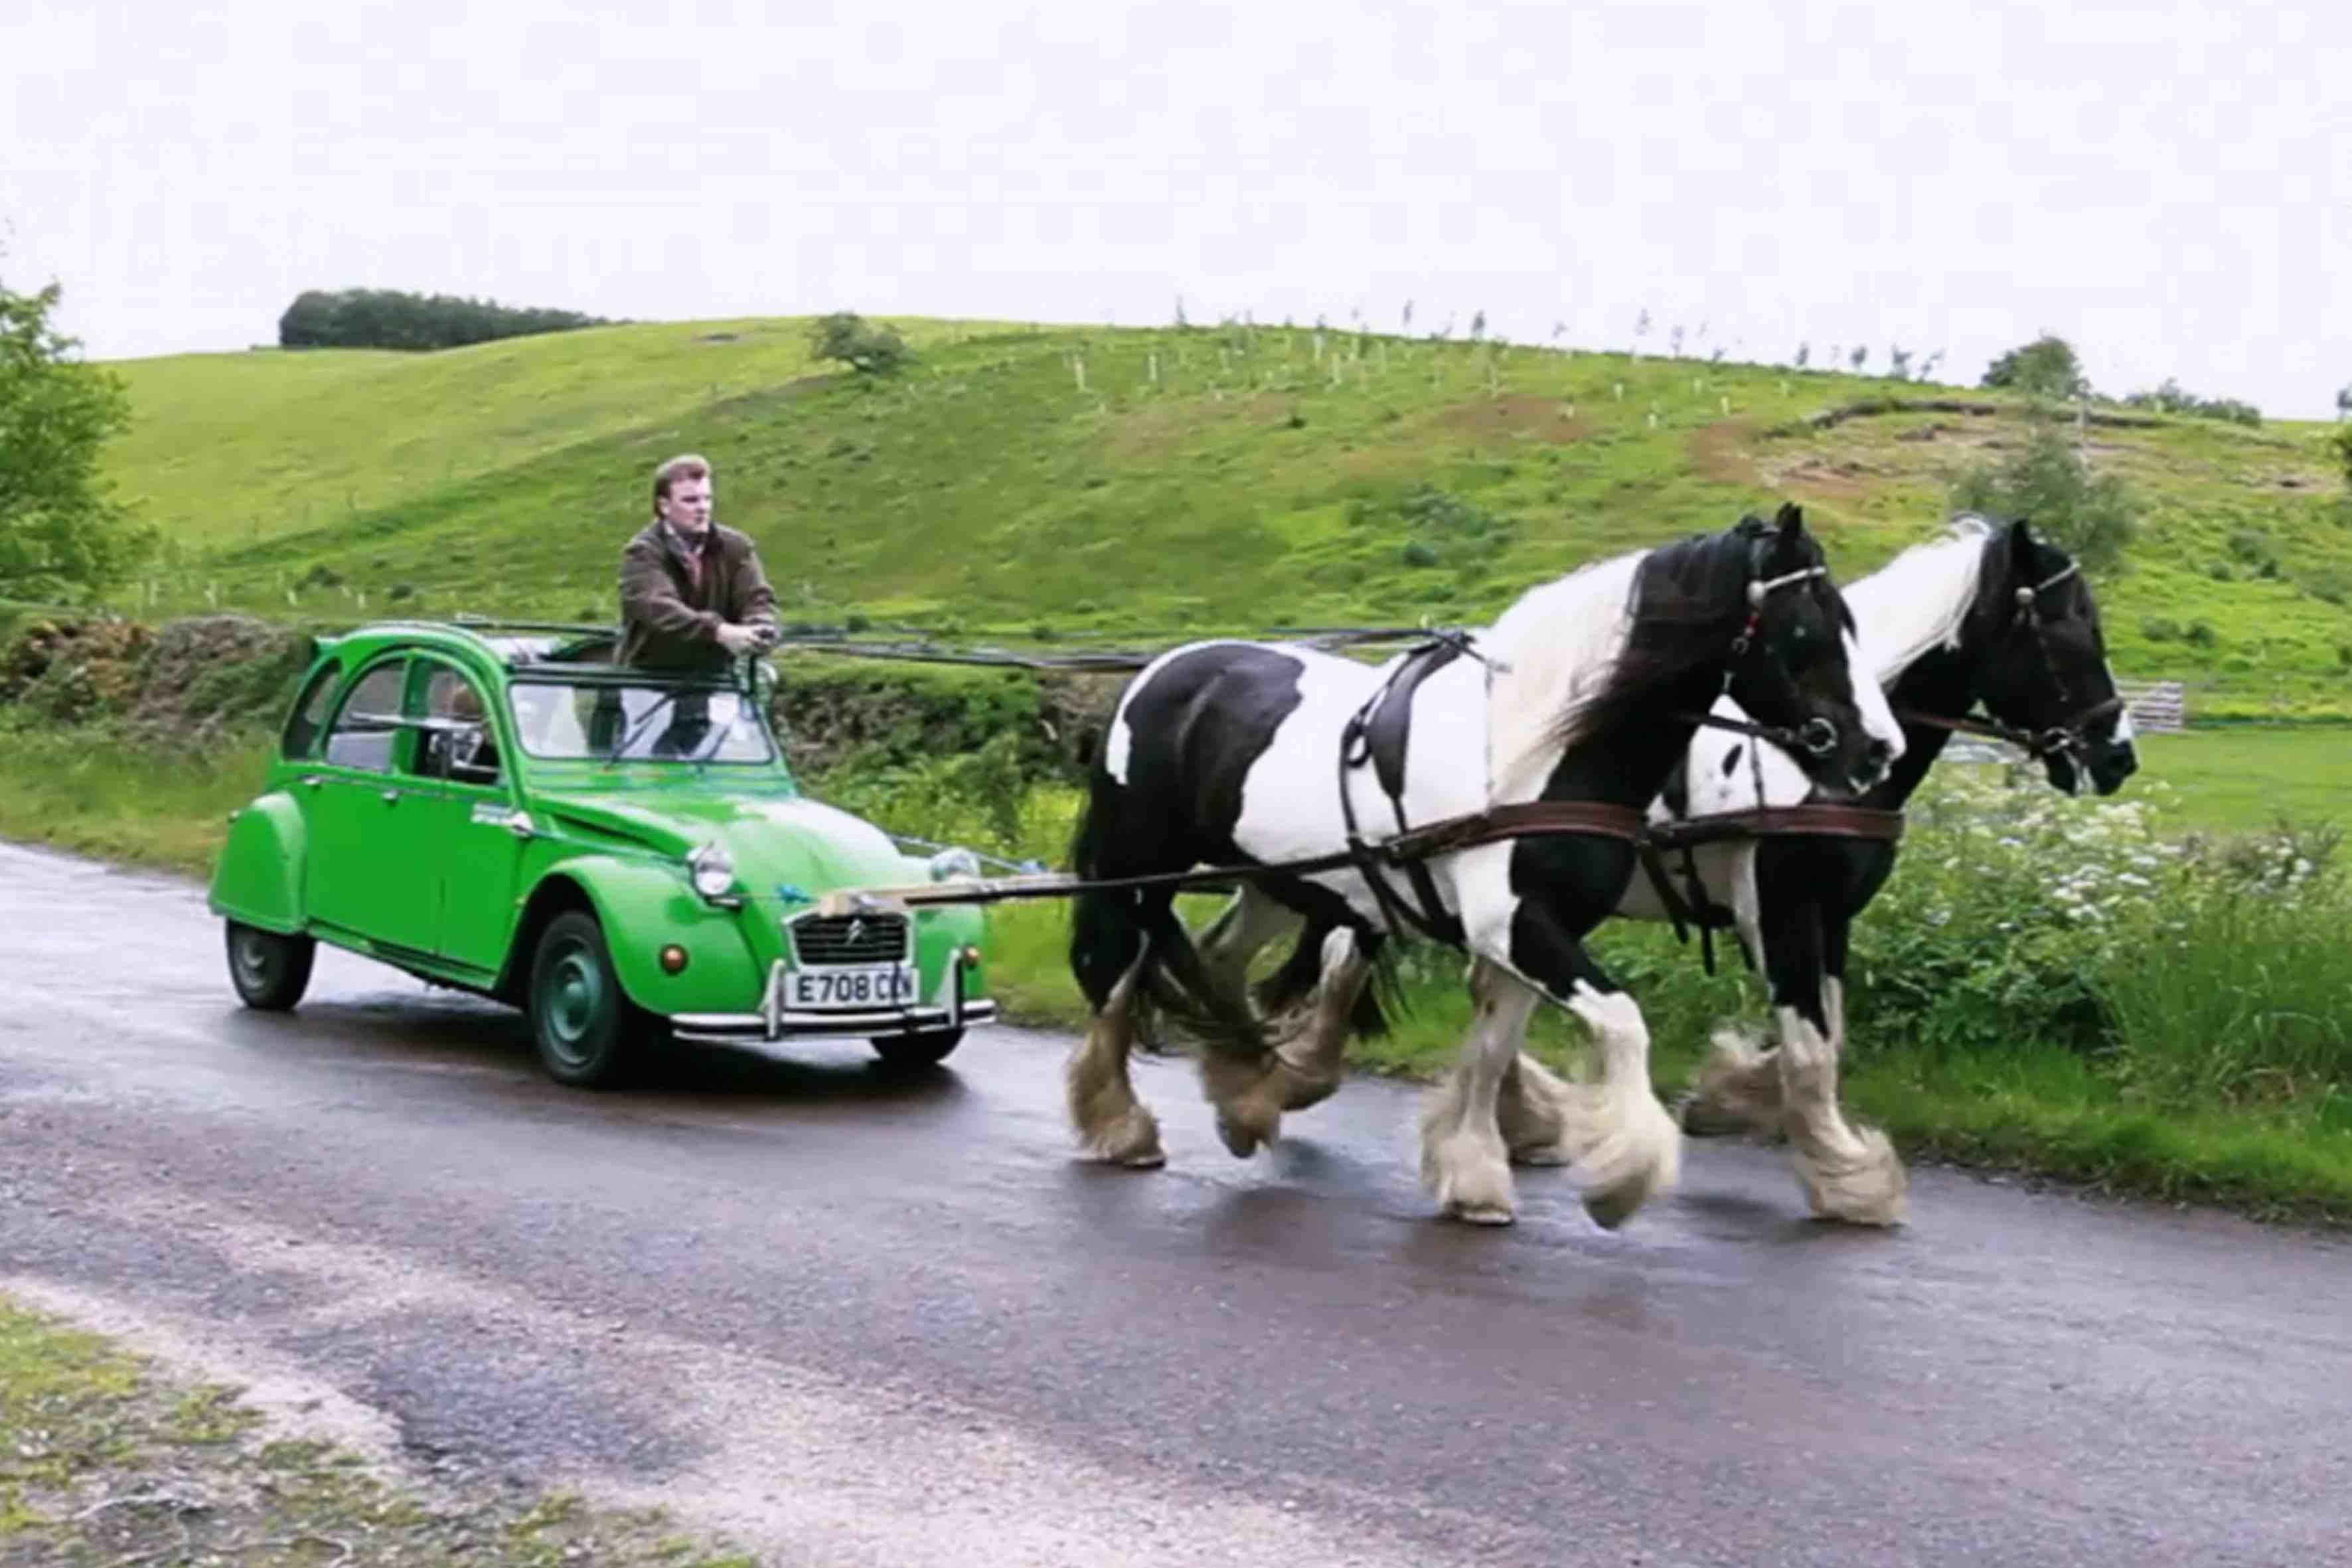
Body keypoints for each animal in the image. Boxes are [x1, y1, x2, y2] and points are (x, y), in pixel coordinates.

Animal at [1062, 503, 1906, 1228]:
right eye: (1806, 630)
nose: (1880, 750)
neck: (1533, 753)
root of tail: (1155, 671)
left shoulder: (1527, 937)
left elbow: (1494, 1050)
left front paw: (1473, 1177)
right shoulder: (1519, 927)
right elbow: (1623, 1024)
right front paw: (1621, 1179)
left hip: (1278, 881)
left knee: (1217, 959)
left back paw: (1243, 1098)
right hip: (1138, 870)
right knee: (1117, 972)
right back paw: (1122, 1127)